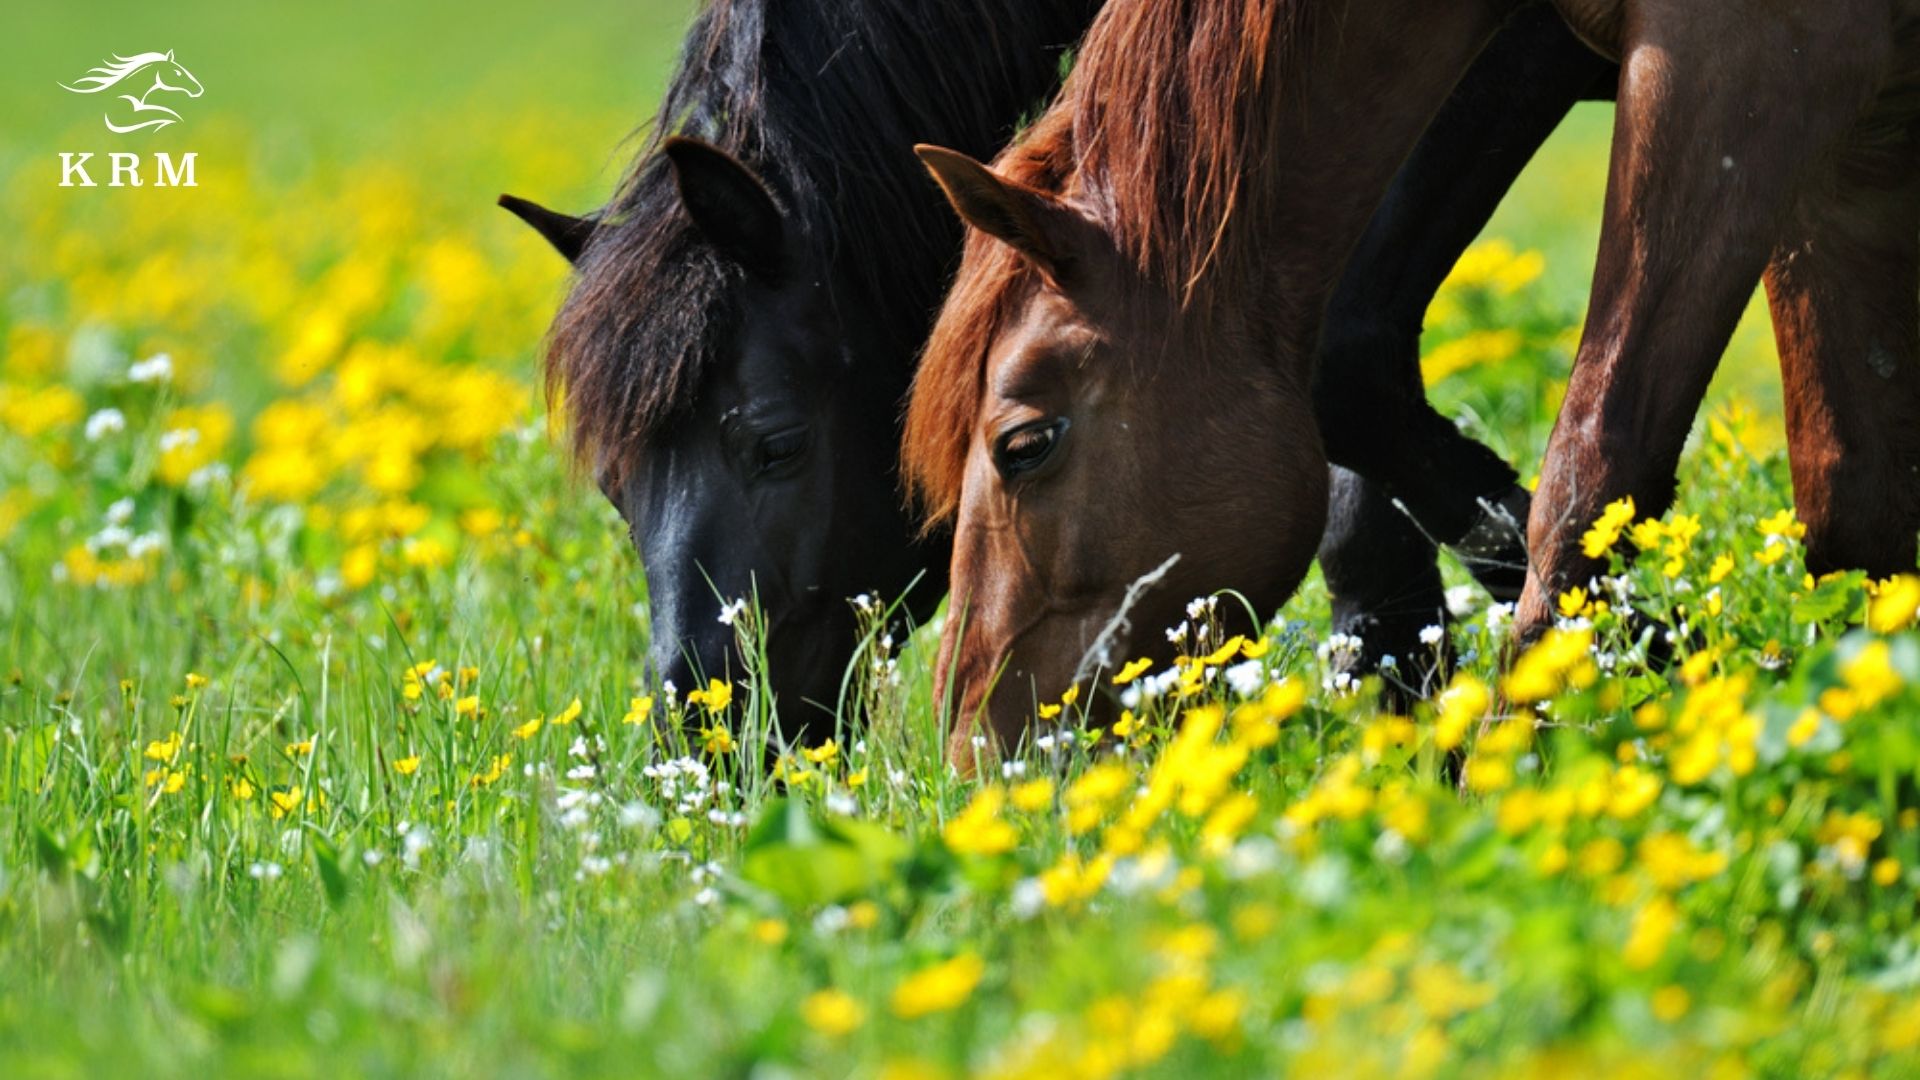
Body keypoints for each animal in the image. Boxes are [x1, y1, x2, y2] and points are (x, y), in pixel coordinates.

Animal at [906, 0, 1920, 757]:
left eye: (1024, 445)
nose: (973, 750)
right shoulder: (1852, 137)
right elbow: (1858, 505)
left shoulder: (1753, 66)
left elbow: (1593, 468)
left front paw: (1518, 776)